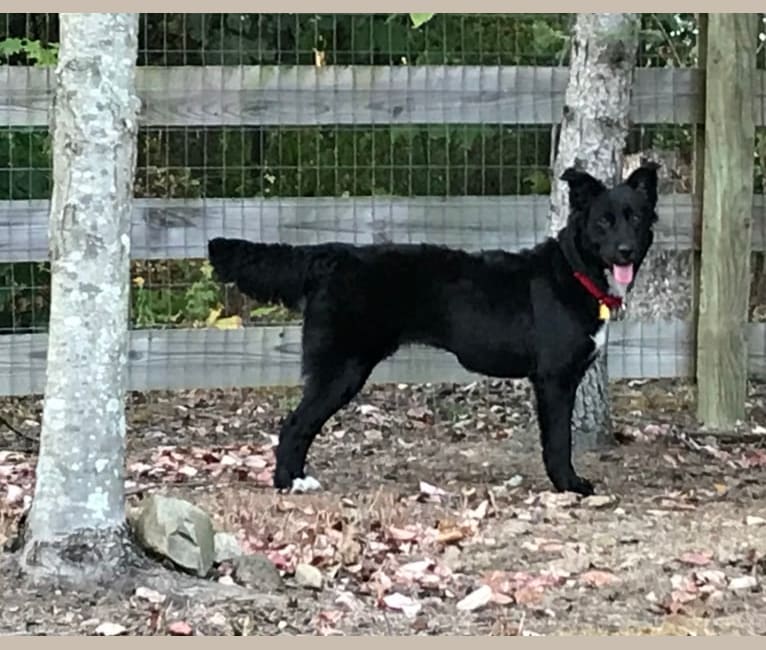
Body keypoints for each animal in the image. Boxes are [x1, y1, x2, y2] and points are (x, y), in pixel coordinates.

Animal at [208, 165, 660, 494]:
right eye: (603, 222)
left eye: (635, 218)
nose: (625, 251)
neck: (575, 271)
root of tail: (333, 256)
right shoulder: (554, 380)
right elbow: (558, 441)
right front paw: (569, 485)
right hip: (343, 370)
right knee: (294, 425)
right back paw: (290, 483)